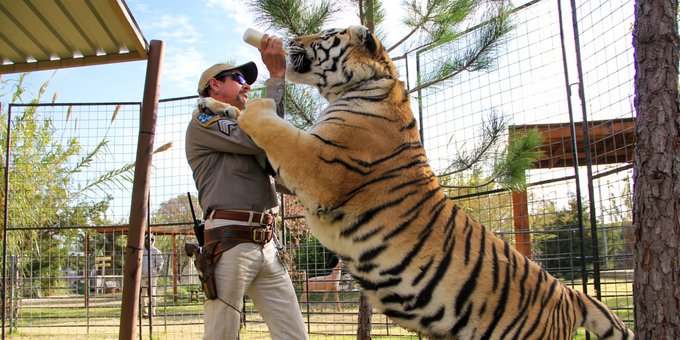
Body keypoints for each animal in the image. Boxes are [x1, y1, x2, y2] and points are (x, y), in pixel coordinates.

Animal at [230, 25, 636, 338]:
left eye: (326, 35)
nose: (291, 39)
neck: (365, 84)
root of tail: (570, 294)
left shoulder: (319, 165)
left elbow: (276, 130)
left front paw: (249, 105)